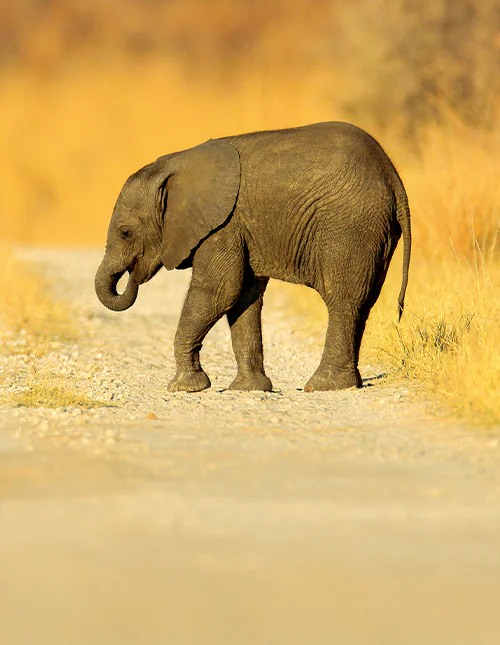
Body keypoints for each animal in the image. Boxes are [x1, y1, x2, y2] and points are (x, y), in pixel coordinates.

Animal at [95, 121, 411, 393]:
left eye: (125, 233)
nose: (131, 278)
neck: (175, 165)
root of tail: (393, 177)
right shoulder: (239, 227)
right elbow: (243, 298)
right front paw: (248, 389)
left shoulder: (223, 225)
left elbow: (219, 291)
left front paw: (184, 387)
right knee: (362, 303)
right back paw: (346, 384)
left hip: (350, 226)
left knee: (343, 298)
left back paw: (322, 386)